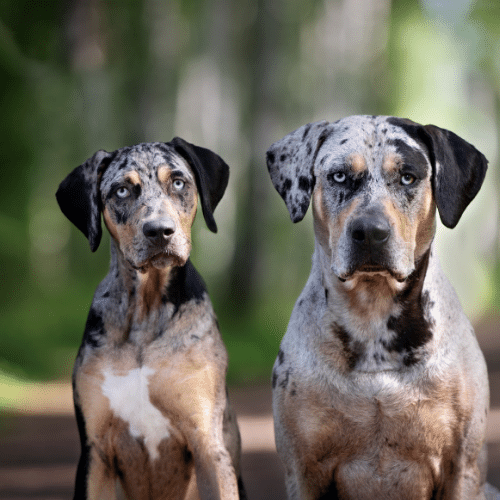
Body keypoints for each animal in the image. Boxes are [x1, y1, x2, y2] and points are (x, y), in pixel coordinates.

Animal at [56, 138, 246, 500]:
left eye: (178, 182)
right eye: (121, 191)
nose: (159, 231)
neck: (146, 311)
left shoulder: (208, 443)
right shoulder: (96, 452)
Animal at [268, 115, 498, 498]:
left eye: (408, 177)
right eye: (339, 176)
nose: (370, 232)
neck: (373, 316)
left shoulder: (461, 468)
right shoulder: (302, 469)